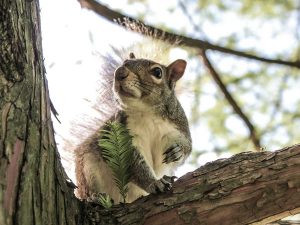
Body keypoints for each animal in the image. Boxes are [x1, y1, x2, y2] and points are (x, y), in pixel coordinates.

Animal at [74, 48, 193, 203]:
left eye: (157, 72)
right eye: (124, 62)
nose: (119, 72)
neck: (146, 111)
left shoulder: (178, 129)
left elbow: (188, 148)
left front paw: (178, 151)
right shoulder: (123, 134)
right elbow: (134, 164)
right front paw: (154, 183)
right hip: (88, 168)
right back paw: (95, 198)